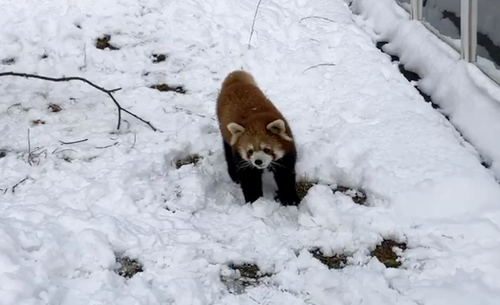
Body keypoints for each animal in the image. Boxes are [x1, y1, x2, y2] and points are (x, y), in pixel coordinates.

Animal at [216, 70, 300, 205]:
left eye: (267, 149)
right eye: (250, 151)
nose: (258, 161)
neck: (256, 119)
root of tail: (235, 81)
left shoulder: (287, 153)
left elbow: (285, 176)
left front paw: (290, 200)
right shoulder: (243, 159)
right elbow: (250, 180)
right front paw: (254, 202)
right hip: (226, 134)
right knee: (228, 153)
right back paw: (234, 175)